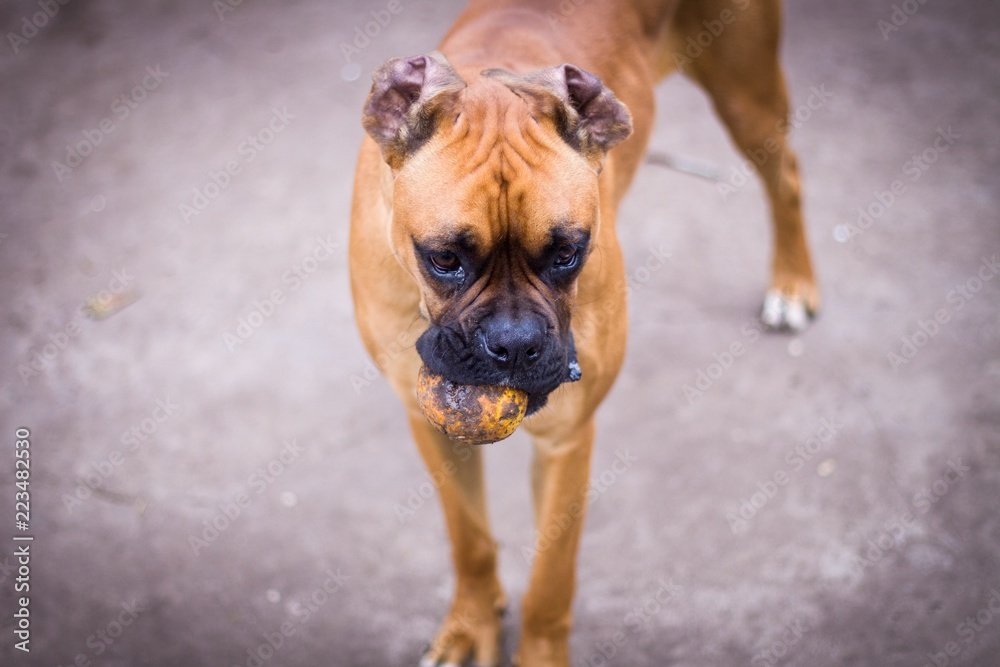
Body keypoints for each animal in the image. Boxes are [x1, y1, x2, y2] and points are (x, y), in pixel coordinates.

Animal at [348, 0, 816, 664]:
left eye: (568, 252)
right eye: (443, 259)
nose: (514, 343)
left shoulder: (567, 442)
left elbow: (550, 580)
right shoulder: (431, 427)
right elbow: (469, 537)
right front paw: (471, 623)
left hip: (747, 94)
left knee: (787, 174)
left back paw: (794, 281)